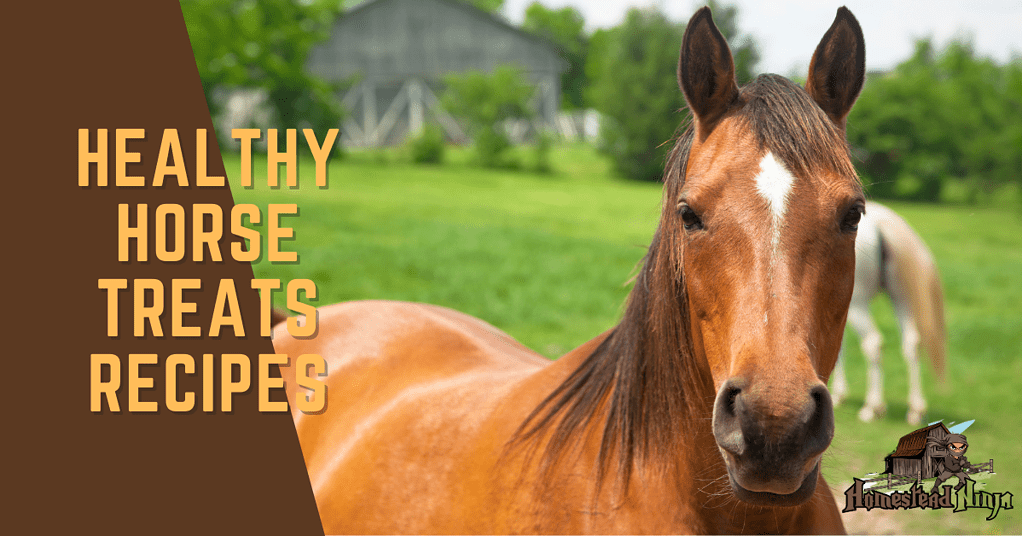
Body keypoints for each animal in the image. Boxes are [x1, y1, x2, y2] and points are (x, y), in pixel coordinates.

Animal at [830, 202, 947, 425]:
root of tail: (881, 223)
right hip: (901, 298)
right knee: (912, 343)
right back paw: (915, 410)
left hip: (858, 304)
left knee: (873, 343)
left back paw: (872, 407)